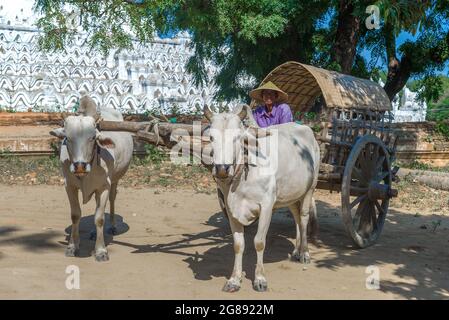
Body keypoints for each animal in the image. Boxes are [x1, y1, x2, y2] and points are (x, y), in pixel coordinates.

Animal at [50, 96, 133, 262]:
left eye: (93, 137)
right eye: (67, 137)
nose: (80, 166)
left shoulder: (104, 187)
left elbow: (99, 218)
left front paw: (101, 251)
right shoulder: (69, 186)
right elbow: (75, 215)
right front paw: (72, 246)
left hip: (115, 180)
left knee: (112, 199)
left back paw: (112, 226)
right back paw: (94, 233)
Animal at [205, 105, 320, 292]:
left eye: (238, 137)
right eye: (211, 137)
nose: (222, 169)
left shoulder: (266, 207)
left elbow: (259, 242)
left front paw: (260, 279)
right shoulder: (231, 210)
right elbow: (238, 245)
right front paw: (234, 280)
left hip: (310, 187)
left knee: (303, 218)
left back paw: (304, 252)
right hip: (290, 194)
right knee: (296, 217)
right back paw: (296, 251)